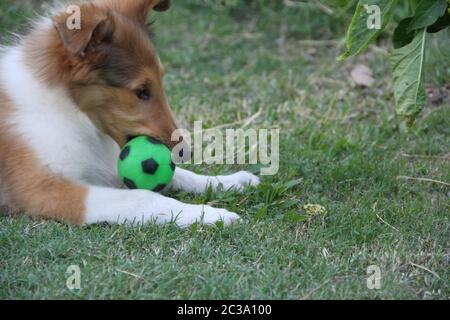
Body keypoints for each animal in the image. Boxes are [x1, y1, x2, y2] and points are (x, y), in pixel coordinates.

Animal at [0, 0, 260, 226]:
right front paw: (212, 214)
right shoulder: (43, 190)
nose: (185, 153)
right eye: (141, 91)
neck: (69, 108)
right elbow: (142, 197)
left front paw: (230, 181)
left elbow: (180, 175)